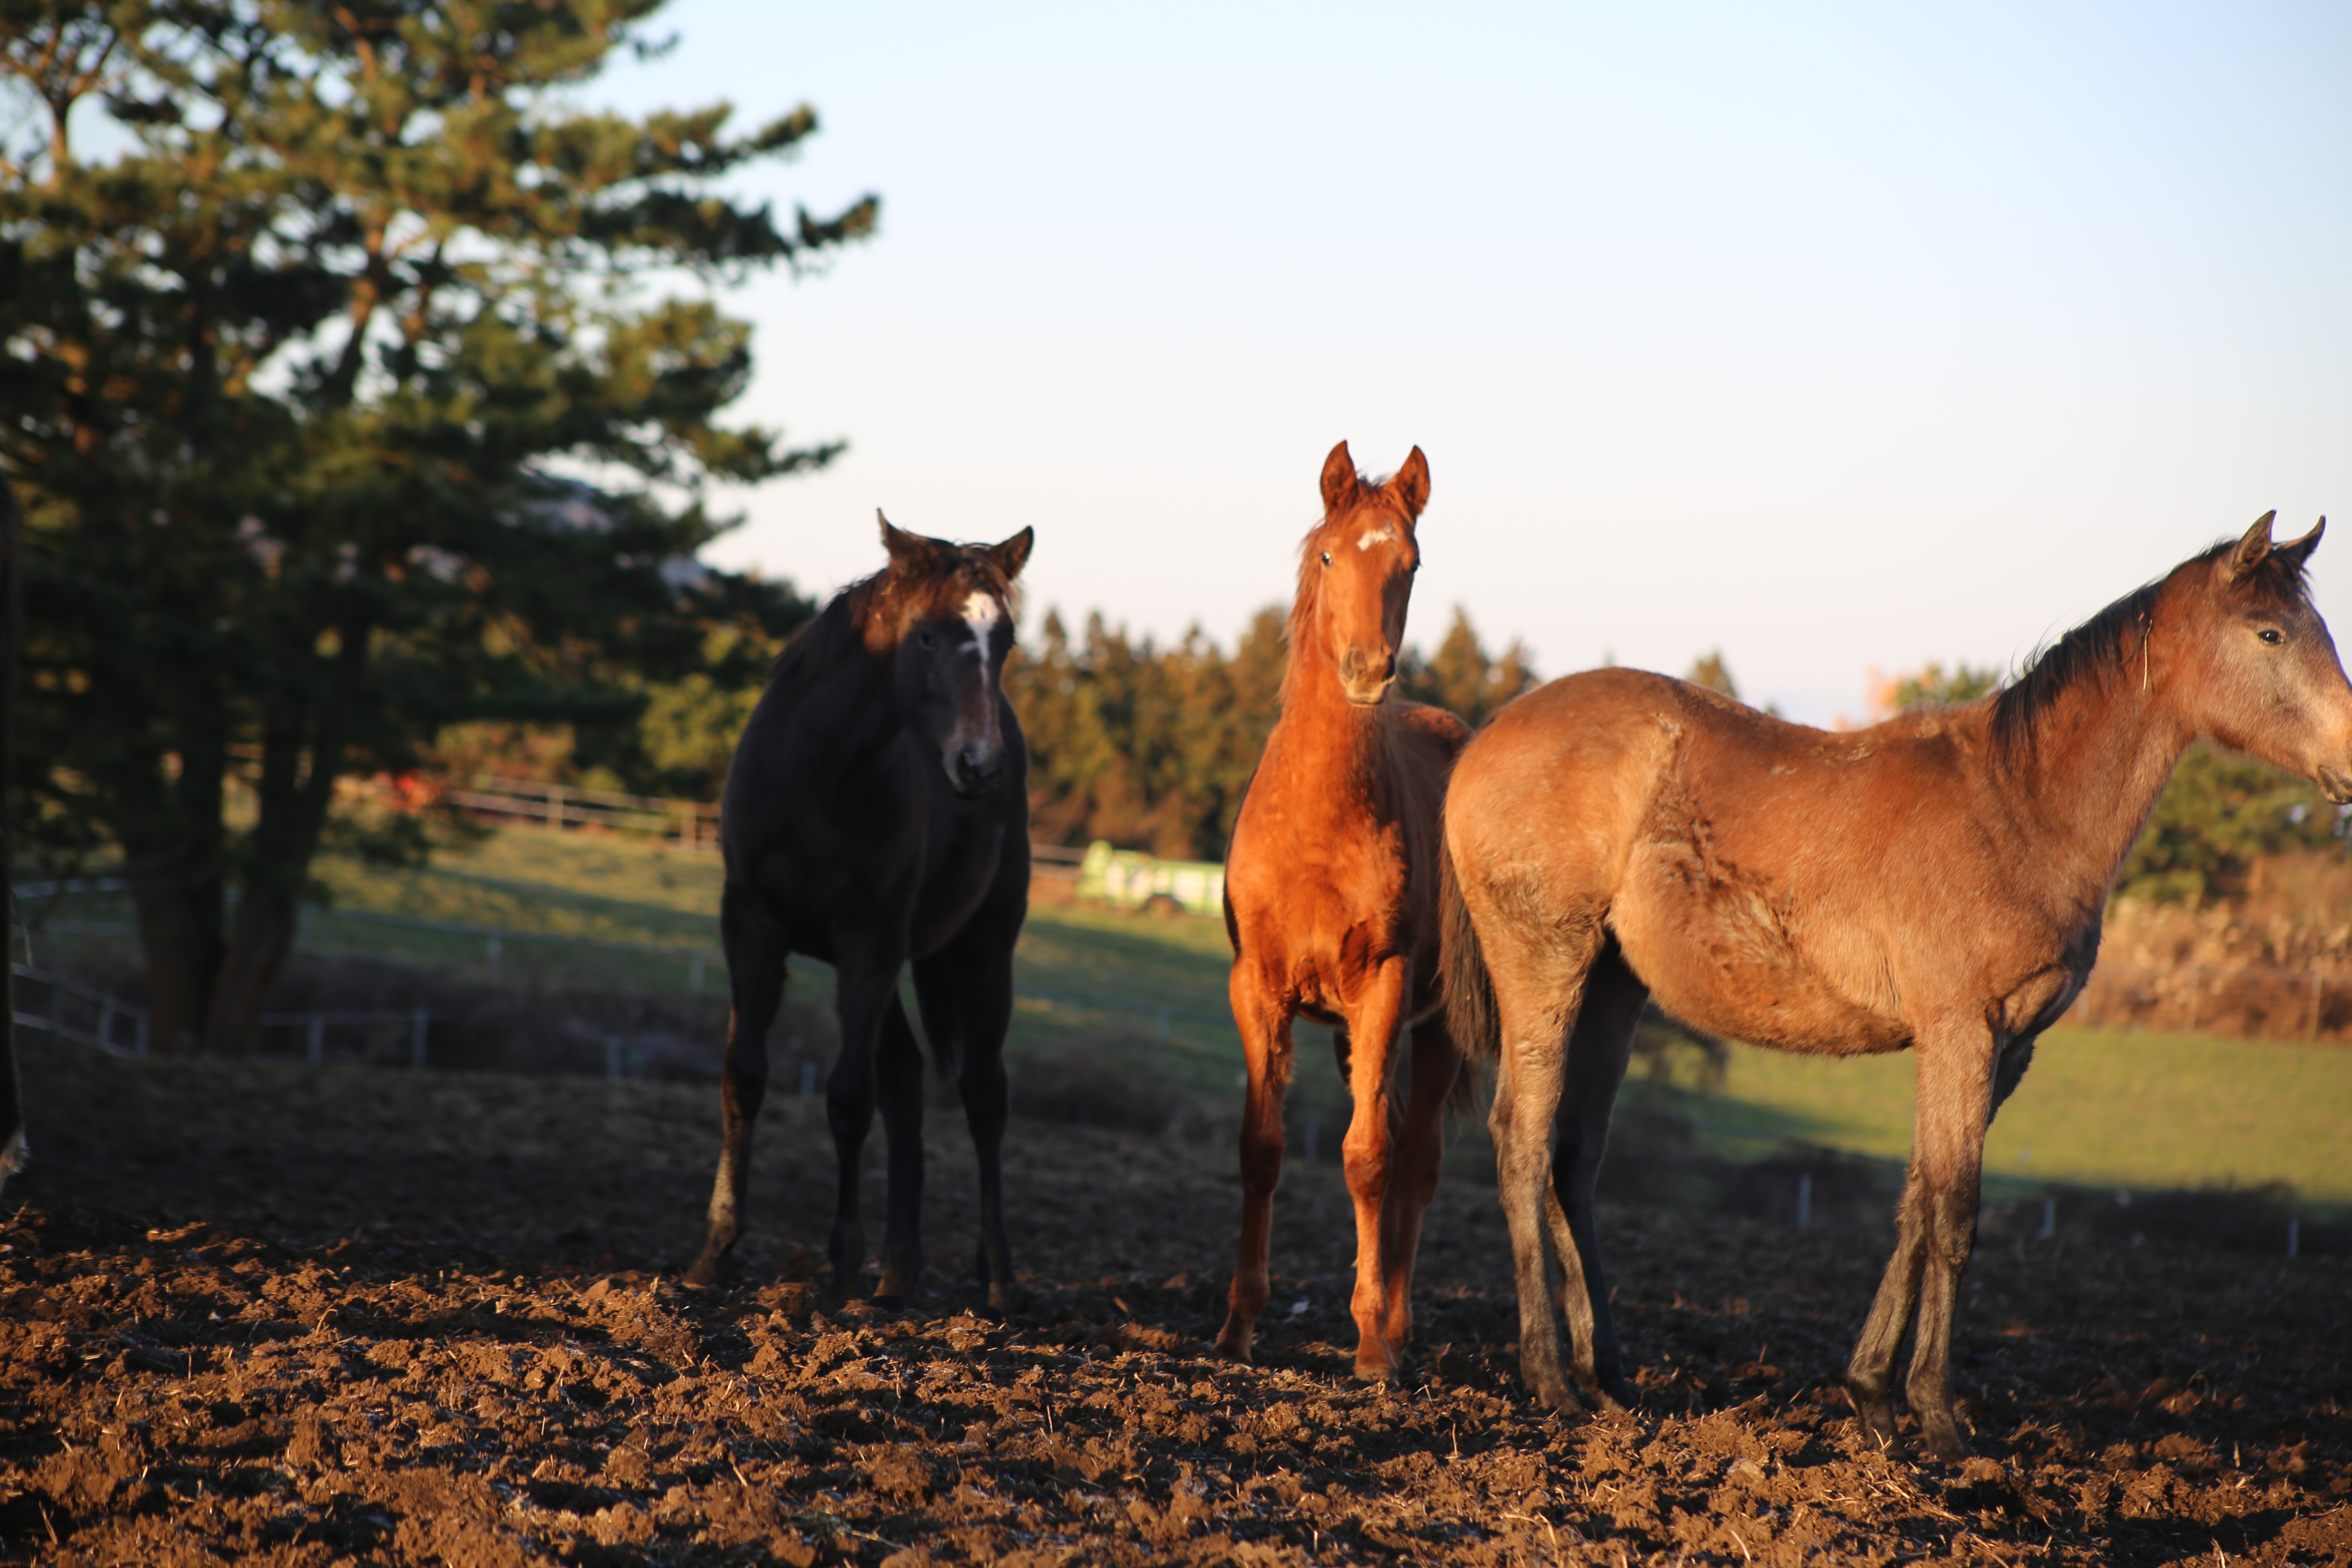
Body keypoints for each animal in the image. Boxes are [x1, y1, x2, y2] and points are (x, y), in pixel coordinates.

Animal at [686, 514, 1039, 1316]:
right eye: (929, 637)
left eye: (1005, 640)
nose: (980, 766)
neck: (819, 773)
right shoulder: (751, 926)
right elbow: (743, 1075)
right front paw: (715, 1253)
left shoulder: (868, 944)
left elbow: (849, 1097)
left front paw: (842, 1268)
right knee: (907, 1082)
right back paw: (897, 1274)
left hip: (983, 950)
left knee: (985, 1095)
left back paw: (997, 1277)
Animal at [1223, 439, 1458, 1373]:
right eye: (1329, 556)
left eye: (1412, 562)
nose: (1367, 670)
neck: (1321, 824)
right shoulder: (1259, 990)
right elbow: (1262, 1149)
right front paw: (1239, 1327)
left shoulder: (1383, 991)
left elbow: (1367, 1160)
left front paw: (1369, 1347)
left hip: (1439, 1026)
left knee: (1416, 1159)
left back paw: (1394, 1325)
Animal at [1439, 517, 2342, 1457]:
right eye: (2270, 634)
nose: (2348, 767)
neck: (2021, 807)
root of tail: (1485, 739)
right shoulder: (1961, 1029)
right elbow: (1954, 1216)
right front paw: (1938, 1416)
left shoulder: (2002, 1050)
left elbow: (1916, 1203)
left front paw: (1872, 1397)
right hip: (1545, 965)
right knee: (1522, 1143)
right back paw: (1550, 1379)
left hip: (1613, 991)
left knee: (1573, 1159)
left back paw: (1608, 1378)